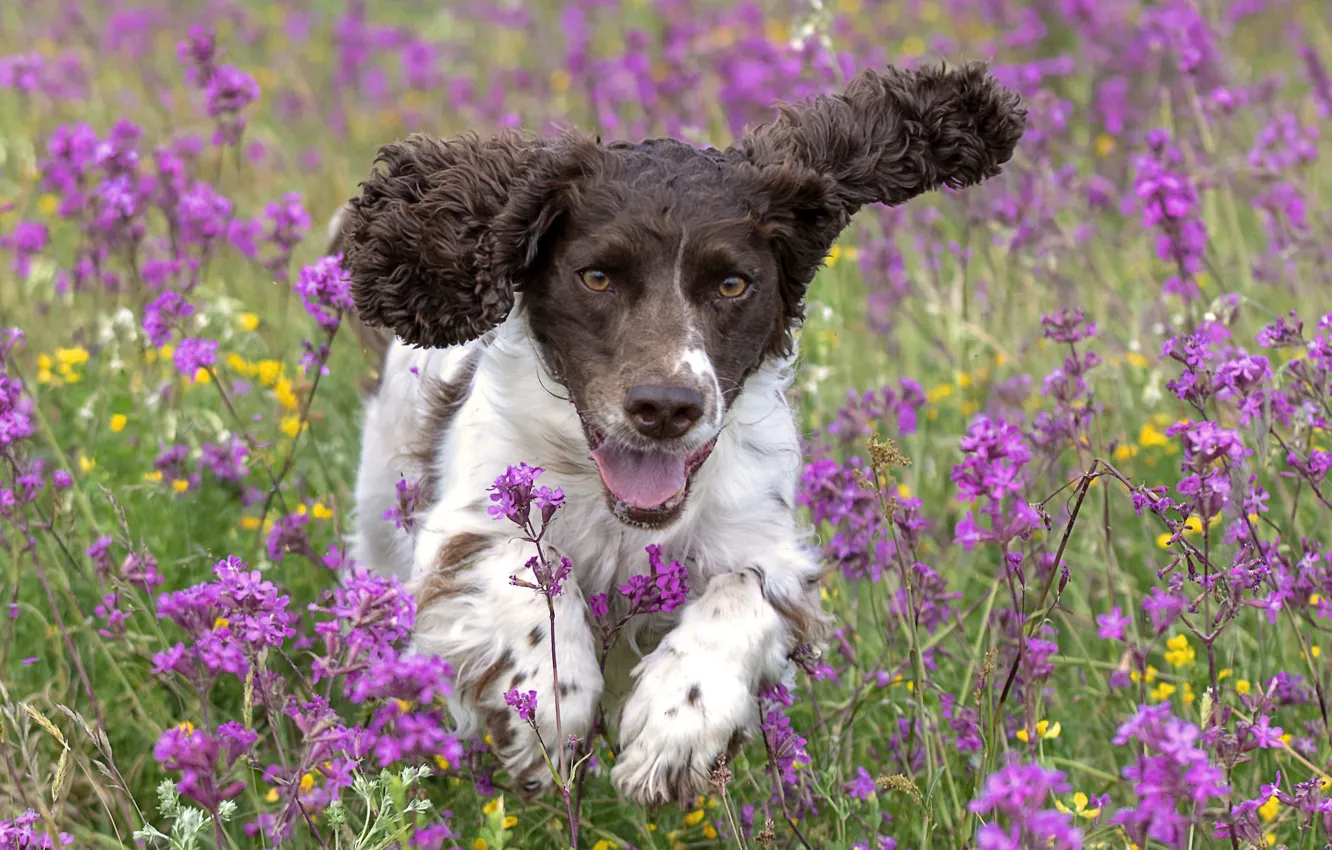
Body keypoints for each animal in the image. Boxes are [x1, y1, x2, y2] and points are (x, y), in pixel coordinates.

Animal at [333, 63, 1028, 810]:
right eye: (596, 276)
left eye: (732, 284)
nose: (665, 407)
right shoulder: (467, 521)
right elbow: (529, 576)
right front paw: (547, 707)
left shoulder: (766, 543)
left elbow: (745, 594)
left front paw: (676, 728)